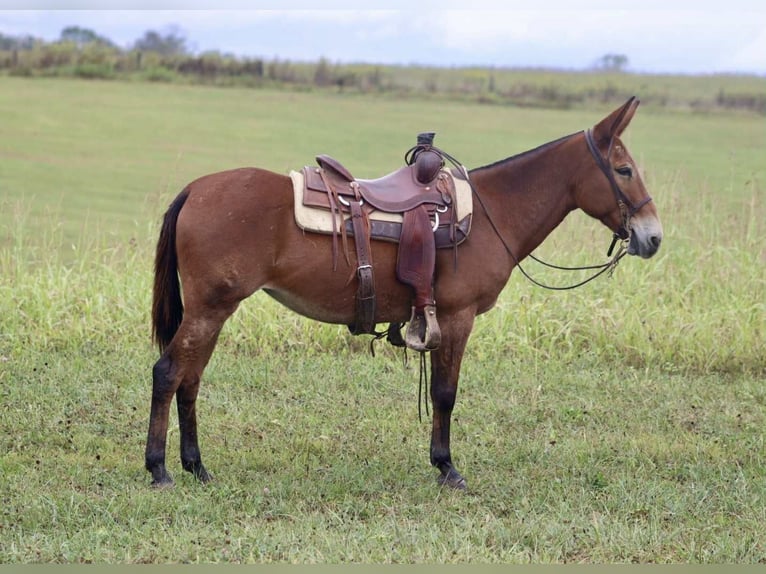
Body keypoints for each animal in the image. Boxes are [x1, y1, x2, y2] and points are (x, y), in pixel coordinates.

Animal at [145, 97, 663, 490]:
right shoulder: (456, 316)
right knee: (169, 373)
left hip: (214, 310)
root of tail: (195, 189)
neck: (493, 211)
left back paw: (196, 466)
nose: (653, 236)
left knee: (191, 379)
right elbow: (445, 393)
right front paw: (447, 467)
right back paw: (159, 469)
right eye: (623, 169)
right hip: (210, 309)